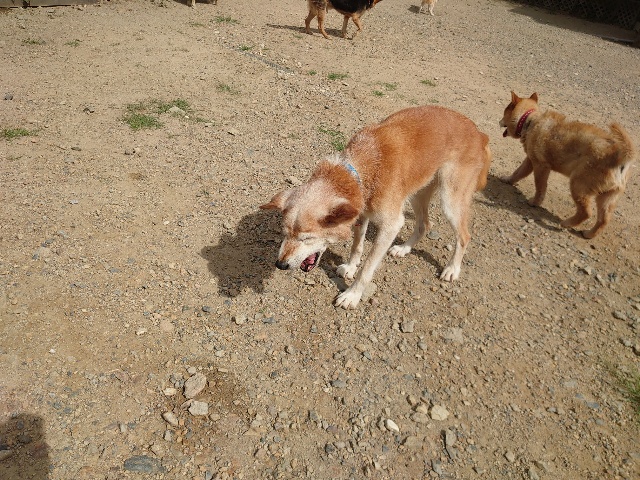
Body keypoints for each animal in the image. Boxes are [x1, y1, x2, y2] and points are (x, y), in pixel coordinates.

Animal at [261, 106, 491, 309]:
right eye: (284, 233)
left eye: (306, 238)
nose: (280, 265)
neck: (362, 171)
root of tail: (479, 133)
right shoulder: (361, 215)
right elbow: (356, 246)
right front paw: (350, 267)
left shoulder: (391, 225)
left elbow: (367, 268)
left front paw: (352, 295)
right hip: (418, 193)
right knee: (424, 224)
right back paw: (403, 249)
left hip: (450, 200)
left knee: (464, 235)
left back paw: (452, 269)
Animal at [500, 91, 636, 239]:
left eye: (504, 112)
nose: (499, 121)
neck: (530, 120)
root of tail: (619, 156)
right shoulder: (530, 161)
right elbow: (518, 172)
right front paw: (508, 180)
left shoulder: (541, 166)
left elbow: (540, 187)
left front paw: (535, 202)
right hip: (607, 197)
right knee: (603, 220)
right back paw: (588, 234)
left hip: (578, 185)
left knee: (586, 213)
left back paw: (566, 223)